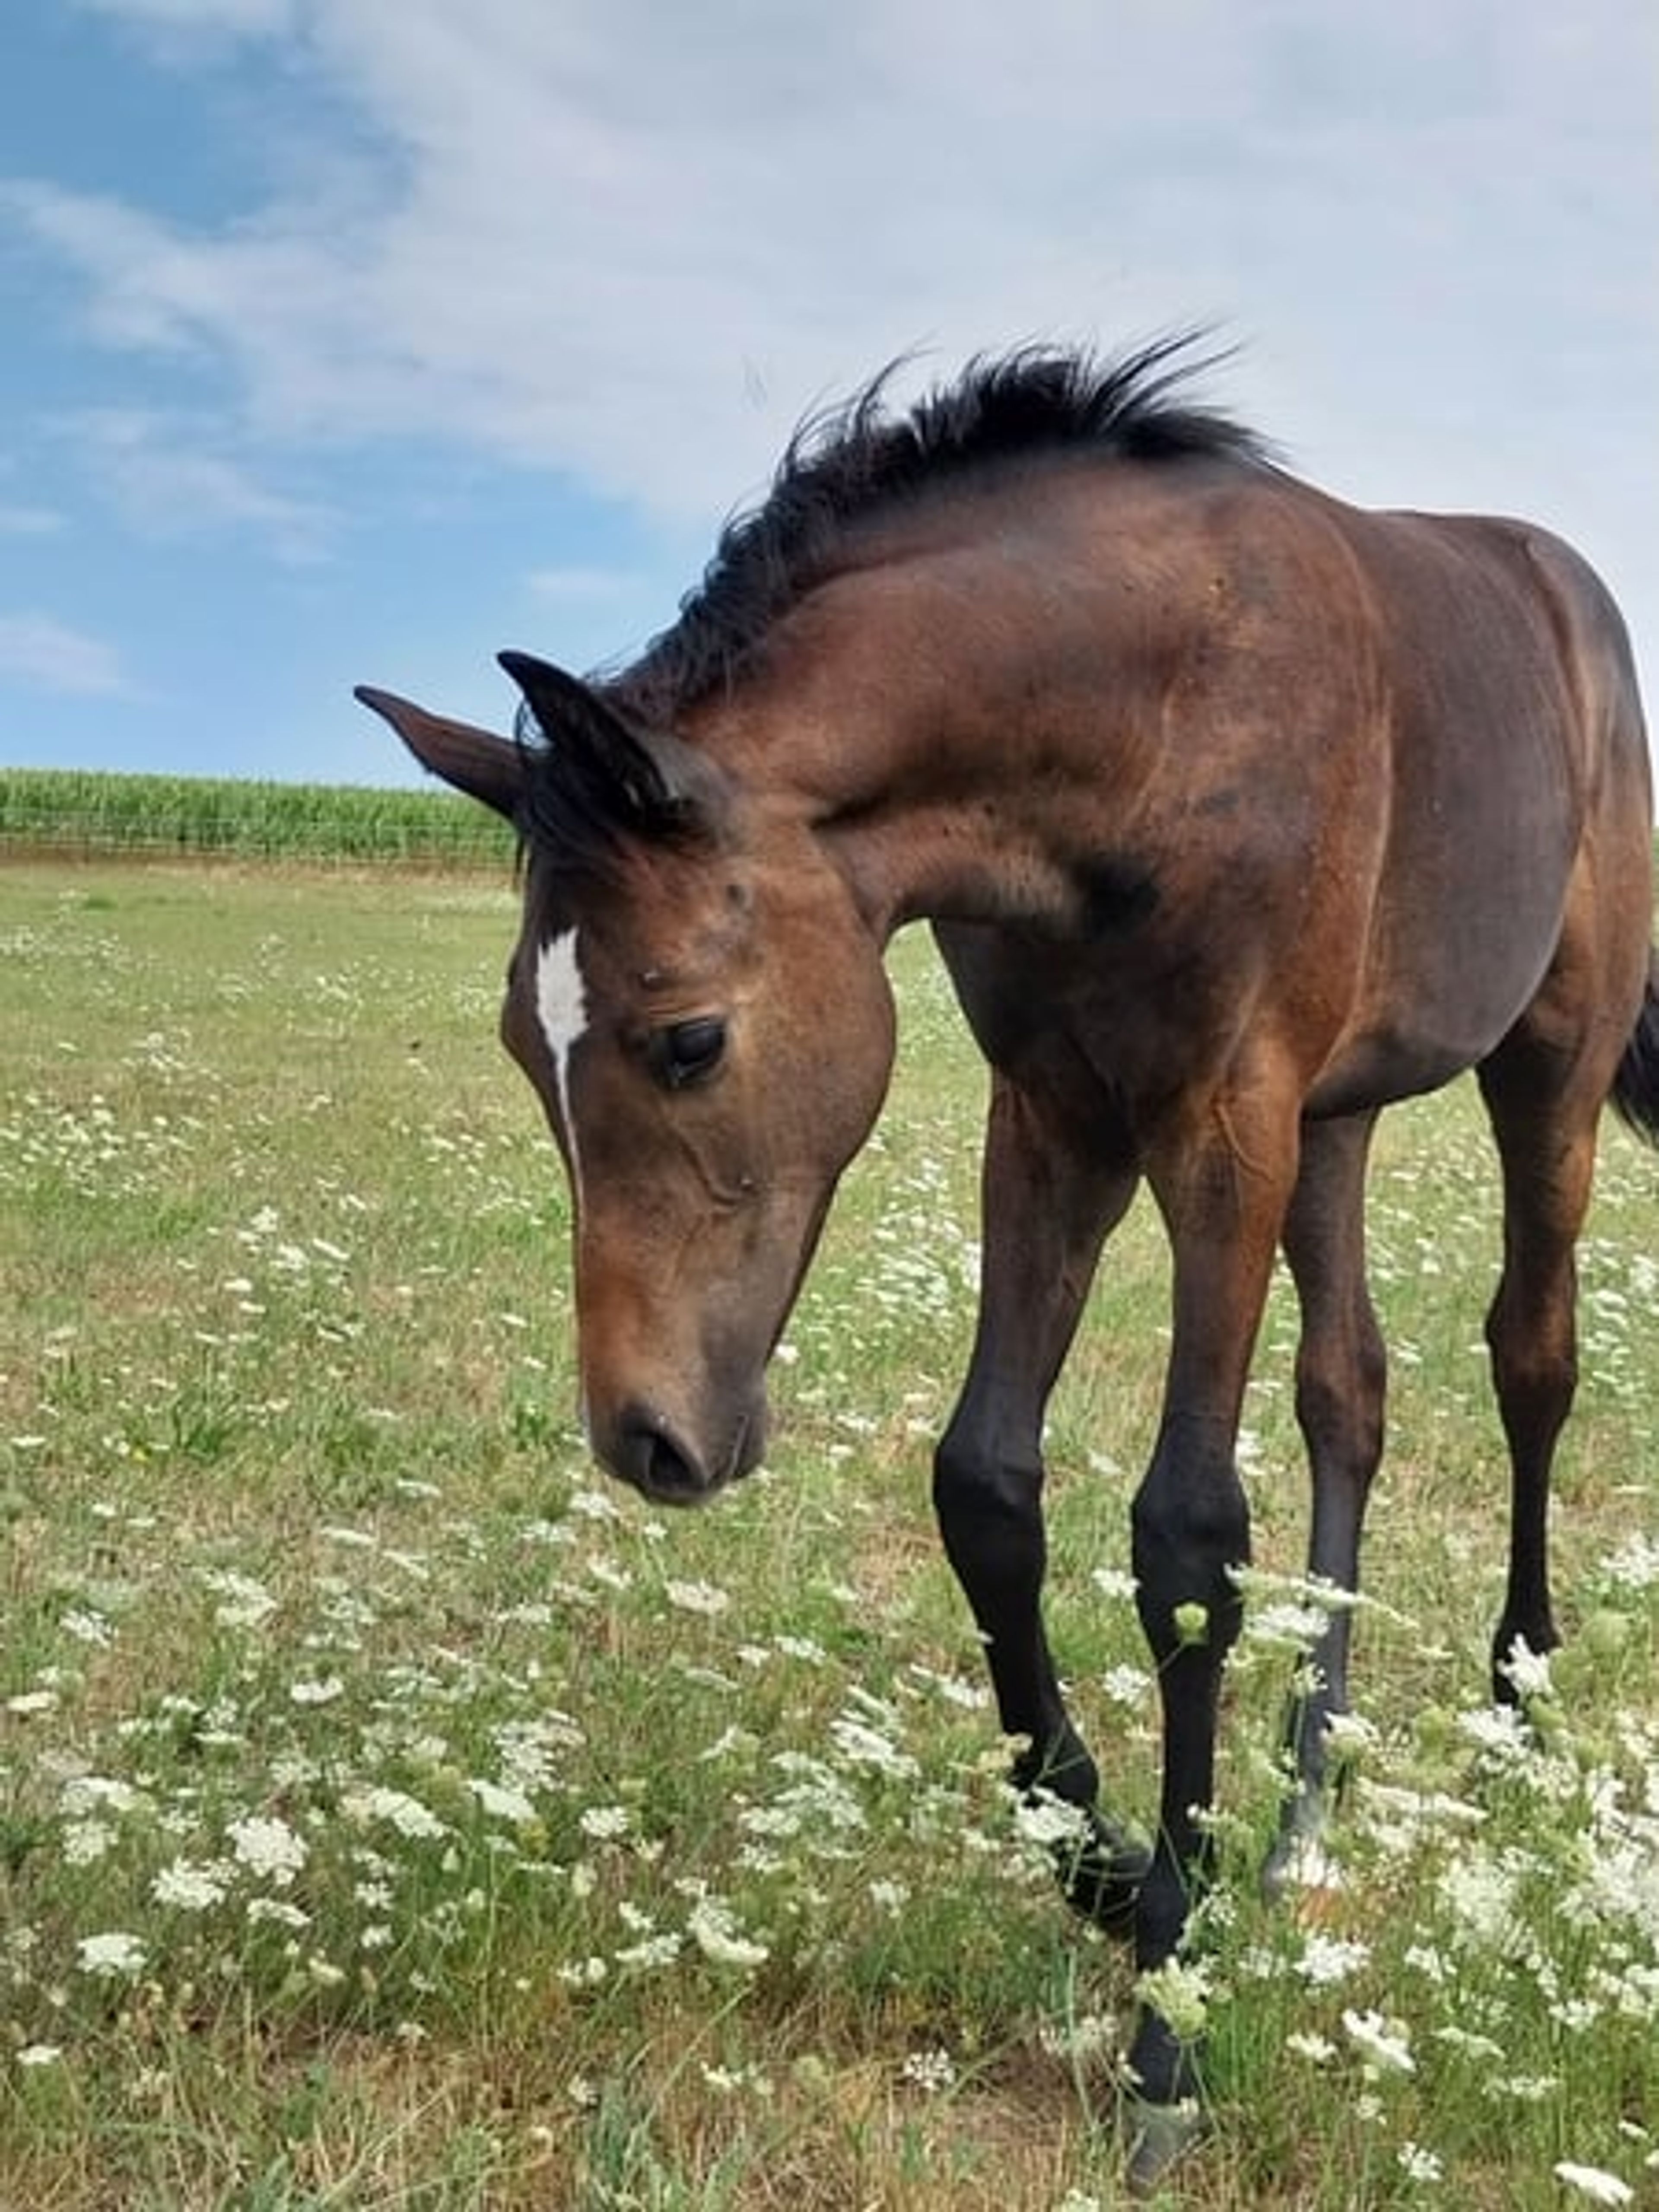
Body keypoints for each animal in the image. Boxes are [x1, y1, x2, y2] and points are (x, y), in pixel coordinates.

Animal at [357, 336, 1659, 2187]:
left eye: (688, 1039)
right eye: (517, 1050)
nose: (648, 1440)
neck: (1151, 716)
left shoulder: (1220, 1124)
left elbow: (1187, 1535)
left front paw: (1170, 2025)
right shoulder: (1054, 1116)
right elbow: (984, 1484)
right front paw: (1120, 1872)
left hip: (1545, 1061)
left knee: (1531, 1358)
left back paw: (1513, 1719)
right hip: (1340, 1115)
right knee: (1351, 1392)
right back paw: (1302, 1809)